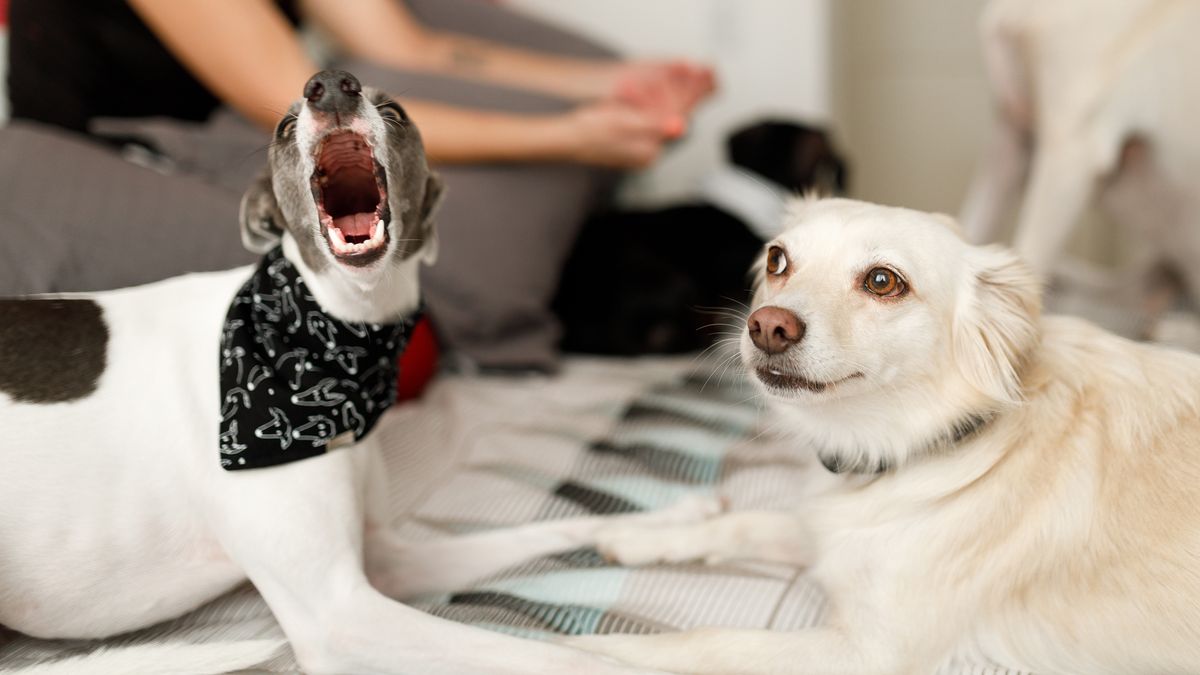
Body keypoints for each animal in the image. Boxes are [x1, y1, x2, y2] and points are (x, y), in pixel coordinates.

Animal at [0, 70, 710, 667]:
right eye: (285, 125)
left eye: (395, 111)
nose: (329, 84)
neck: (335, 344)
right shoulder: (339, 613)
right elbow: (560, 657)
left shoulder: (390, 561)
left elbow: (564, 526)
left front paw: (676, 525)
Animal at [566, 198, 1200, 672]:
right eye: (777, 260)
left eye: (881, 280)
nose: (767, 326)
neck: (899, 451)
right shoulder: (830, 534)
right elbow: (746, 522)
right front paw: (638, 536)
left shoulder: (868, 653)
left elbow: (705, 642)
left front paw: (576, 652)